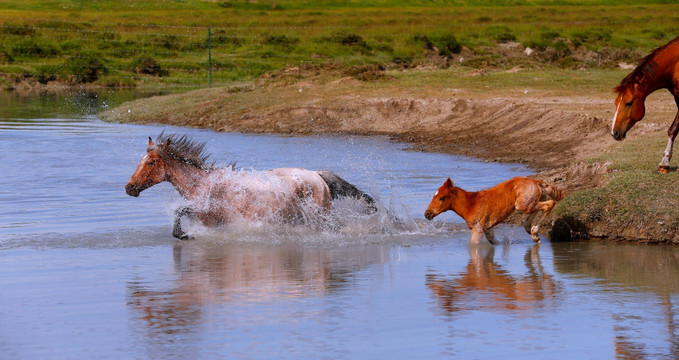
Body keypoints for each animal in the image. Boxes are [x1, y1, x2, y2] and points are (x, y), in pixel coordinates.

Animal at [126, 132, 378, 239]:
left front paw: (182, 235)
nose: (129, 187)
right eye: (140, 160)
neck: (204, 184)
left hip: (318, 217)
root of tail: (317, 175)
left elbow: (179, 211)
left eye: (150, 162)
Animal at [424, 177, 564, 245]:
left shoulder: (477, 229)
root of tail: (535, 181)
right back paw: (530, 229)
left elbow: (473, 246)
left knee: (549, 204)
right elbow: (494, 242)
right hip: (529, 202)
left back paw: (534, 233)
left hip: (522, 205)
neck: (472, 204)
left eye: (442, 198)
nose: (427, 214)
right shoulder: (488, 228)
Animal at [612, 35, 679, 174]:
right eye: (616, 103)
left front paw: (665, 163)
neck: (676, 64)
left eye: (628, 103)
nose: (614, 132)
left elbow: (674, 129)